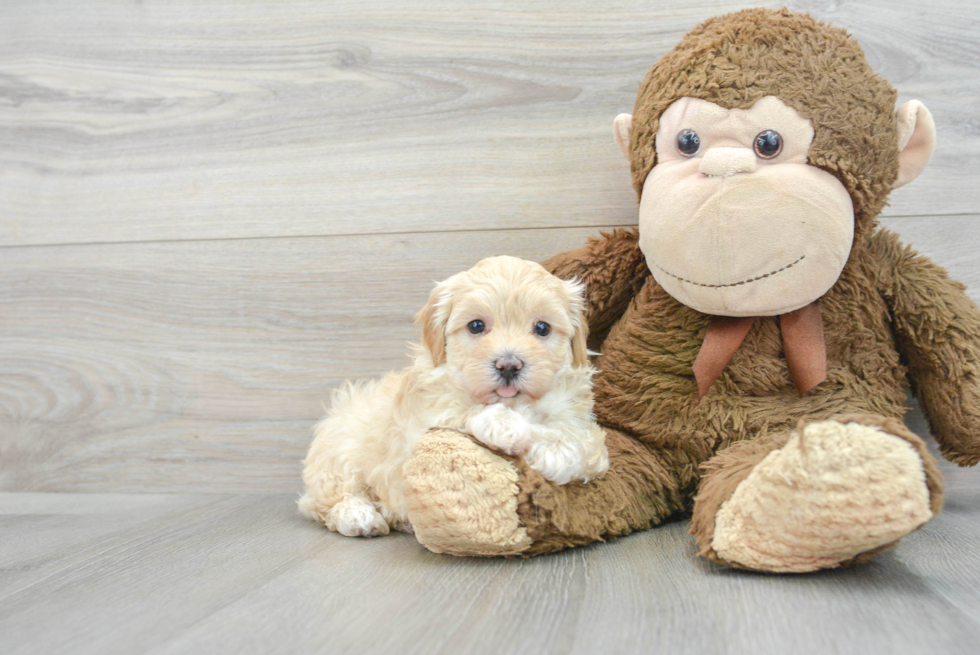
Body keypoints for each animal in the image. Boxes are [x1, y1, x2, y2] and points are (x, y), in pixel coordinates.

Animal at [298, 256, 608, 540]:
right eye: (476, 326)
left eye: (542, 328)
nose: (509, 365)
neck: (516, 404)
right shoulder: (419, 425)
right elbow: (460, 409)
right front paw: (507, 426)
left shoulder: (581, 421)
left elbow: (582, 438)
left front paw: (557, 452)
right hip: (340, 448)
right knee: (324, 500)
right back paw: (358, 515)